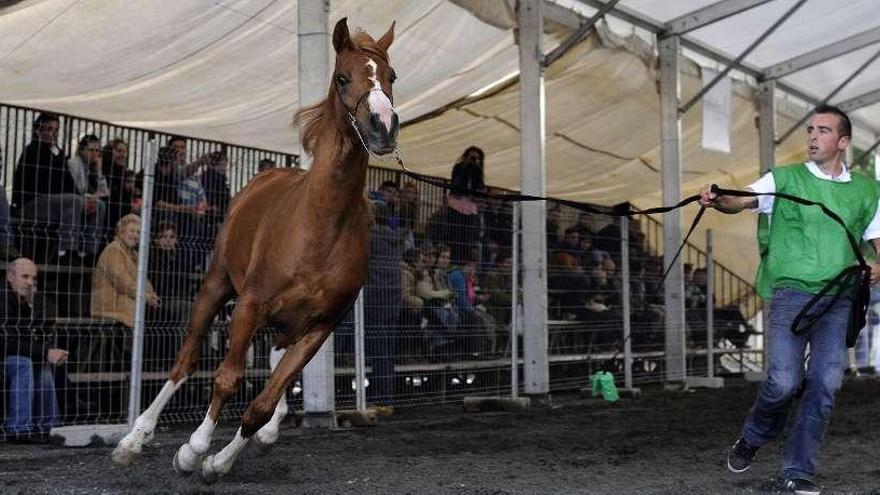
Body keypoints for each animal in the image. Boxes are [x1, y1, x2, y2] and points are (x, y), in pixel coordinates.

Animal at [111, 17, 400, 482]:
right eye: (342, 78)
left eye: (391, 77)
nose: (383, 127)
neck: (318, 228)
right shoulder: (249, 304)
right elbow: (227, 378)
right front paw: (192, 451)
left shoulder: (321, 326)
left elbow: (262, 403)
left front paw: (219, 462)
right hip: (215, 286)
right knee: (185, 362)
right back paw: (133, 440)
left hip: (286, 323)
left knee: (271, 366)